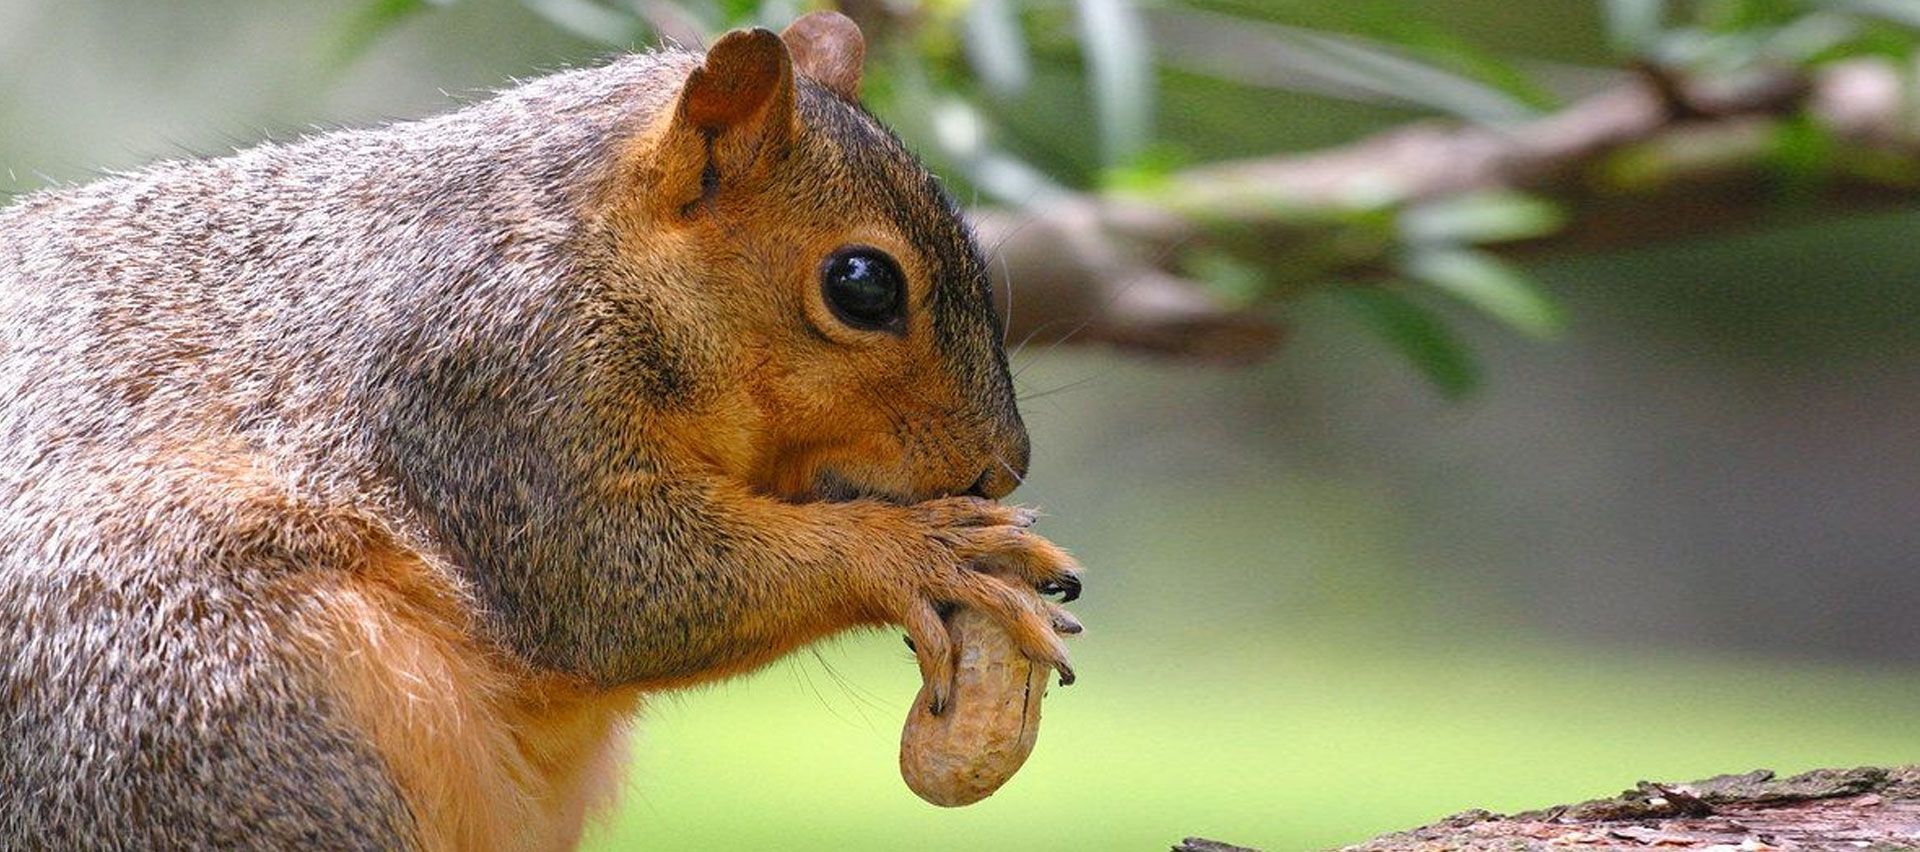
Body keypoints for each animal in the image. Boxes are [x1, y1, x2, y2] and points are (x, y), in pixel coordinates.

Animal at [0, 12, 1082, 851]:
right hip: (224, 707)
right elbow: (609, 586)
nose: (1002, 467)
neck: (587, 247)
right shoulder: (490, 394)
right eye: (862, 284)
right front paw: (917, 553)